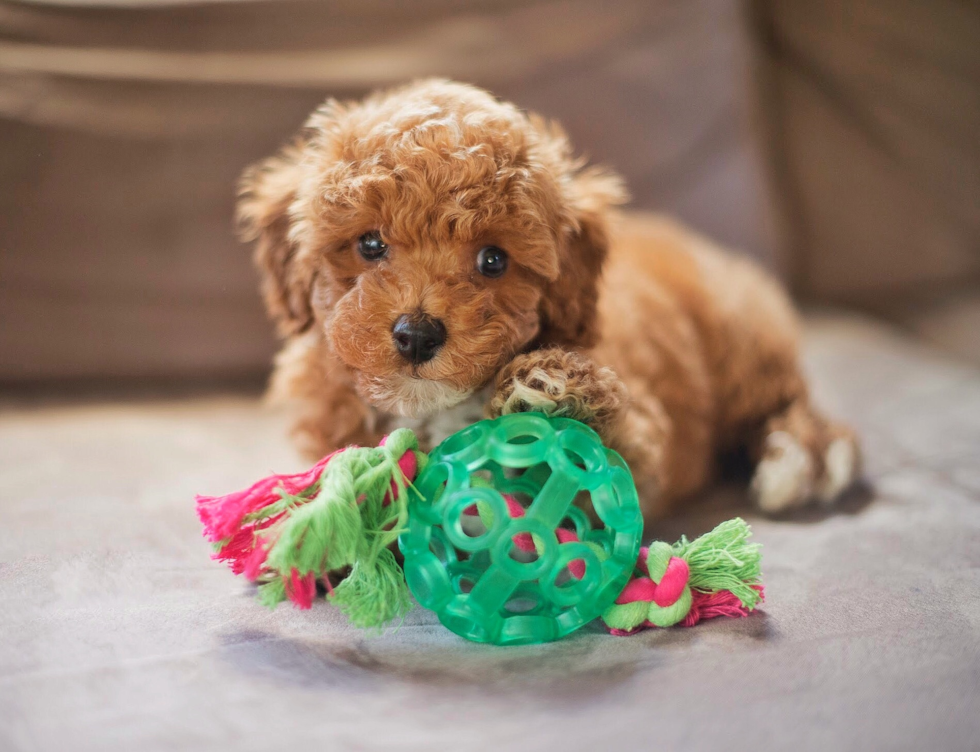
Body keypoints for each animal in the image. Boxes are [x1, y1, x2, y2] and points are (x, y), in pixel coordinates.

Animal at [239, 76, 856, 524]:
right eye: (369, 244)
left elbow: (608, 465)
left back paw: (801, 460)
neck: (434, 409)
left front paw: (551, 389)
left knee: (788, 405)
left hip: (743, 342)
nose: (416, 334)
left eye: (493, 260)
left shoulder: (643, 439)